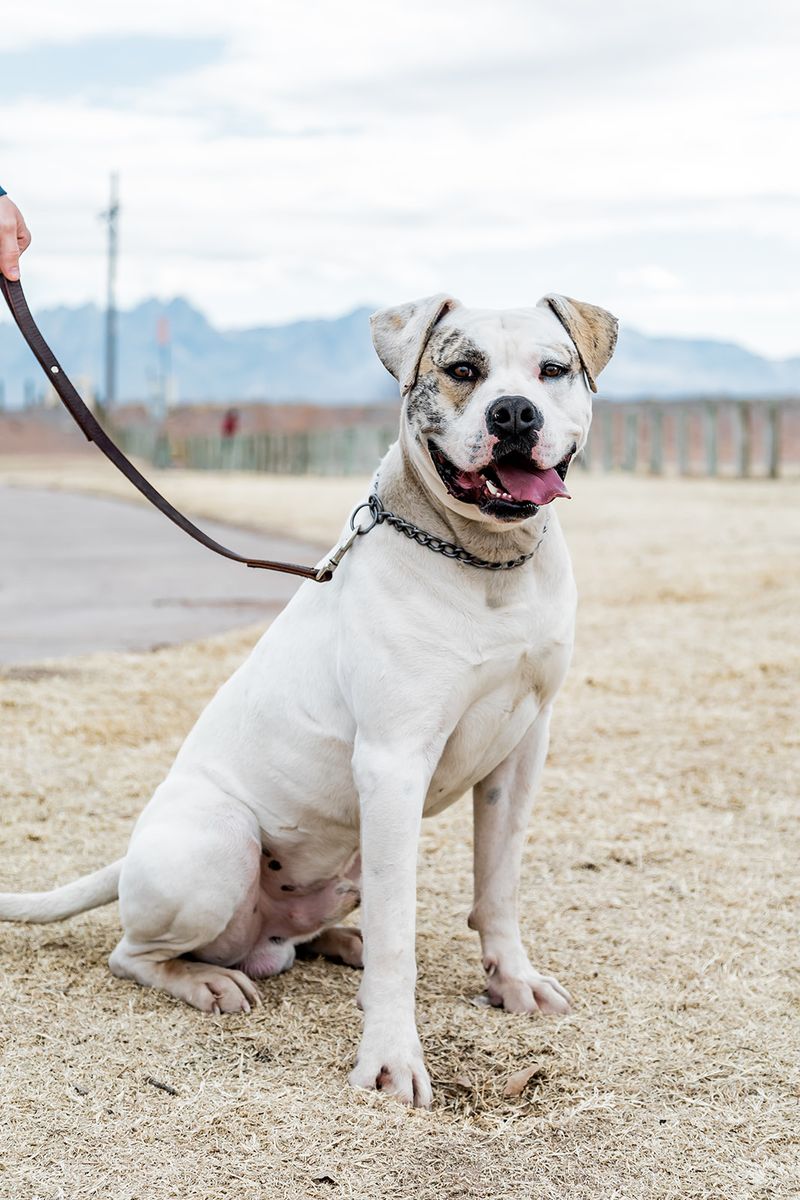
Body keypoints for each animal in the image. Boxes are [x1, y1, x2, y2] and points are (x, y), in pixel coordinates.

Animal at [0, 290, 618, 1104]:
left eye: (553, 370)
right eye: (462, 370)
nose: (514, 412)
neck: (488, 565)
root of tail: (129, 859)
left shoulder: (522, 749)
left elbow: (499, 887)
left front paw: (511, 981)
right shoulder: (393, 764)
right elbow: (400, 939)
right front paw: (391, 1056)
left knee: (305, 930)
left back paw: (335, 939)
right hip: (219, 841)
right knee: (132, 954)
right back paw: (207, 981)